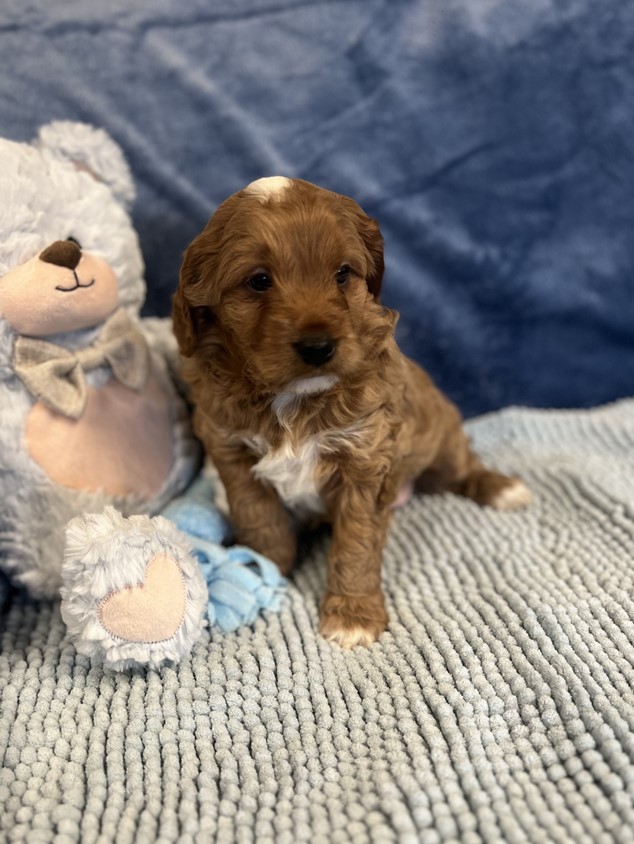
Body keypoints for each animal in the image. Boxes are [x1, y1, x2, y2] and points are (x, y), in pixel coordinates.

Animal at [172, 178, 528, 648]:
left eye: (342, 274)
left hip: (442, 446)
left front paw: (352, 615)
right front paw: (263, 568)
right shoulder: (230, 449)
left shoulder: (366, 459)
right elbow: (258, 518)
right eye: (258, 281)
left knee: (465, 468)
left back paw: (503, 489)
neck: (292, 400)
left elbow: (356, 544)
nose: (318, 347)